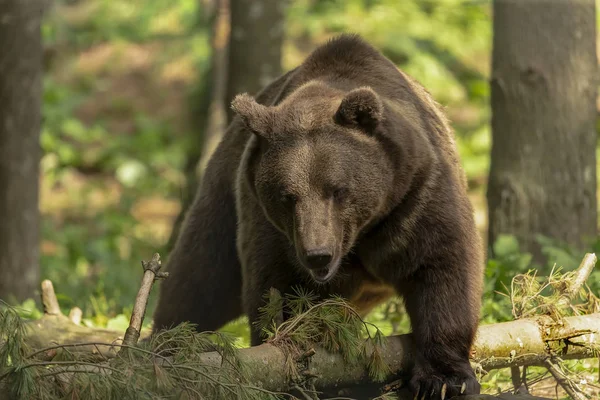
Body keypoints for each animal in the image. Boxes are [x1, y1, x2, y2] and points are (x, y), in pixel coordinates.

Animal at [152, 35, 486, 400]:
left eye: (337, 190)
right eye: (287, 196)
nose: (318, 254)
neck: (362, 235)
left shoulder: (416, 196)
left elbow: (443, 266)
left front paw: (444, 379)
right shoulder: (272, 228)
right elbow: (277, 290)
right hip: (224, 196)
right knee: (198, 280)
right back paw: (162, 349)